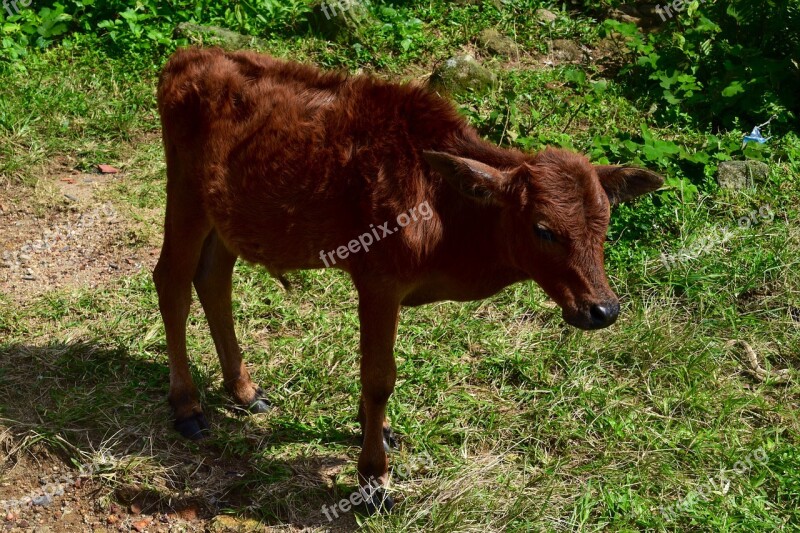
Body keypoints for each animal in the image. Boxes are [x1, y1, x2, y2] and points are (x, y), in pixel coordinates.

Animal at [155, 46, 664, 512]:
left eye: (605, 222)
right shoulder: (378, 279)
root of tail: (186, 56)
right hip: (185, 190)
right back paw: (187, 405)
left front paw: (375, 430)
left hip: (228, 216)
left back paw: (243, 390)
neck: (446, 213)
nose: (603, 309)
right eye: (543, 229)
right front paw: (372, 480)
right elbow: (380, 376)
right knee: (171, 280)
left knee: (213, 279)